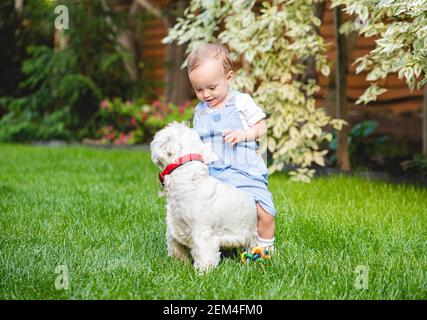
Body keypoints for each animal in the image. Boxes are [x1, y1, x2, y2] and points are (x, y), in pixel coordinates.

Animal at [150, 122, 258, 272]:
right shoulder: (174, 226)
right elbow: (176, 248)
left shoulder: (202, 231)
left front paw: (202, 273)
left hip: (250, 233)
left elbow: (204, 254)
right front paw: (179, 264)